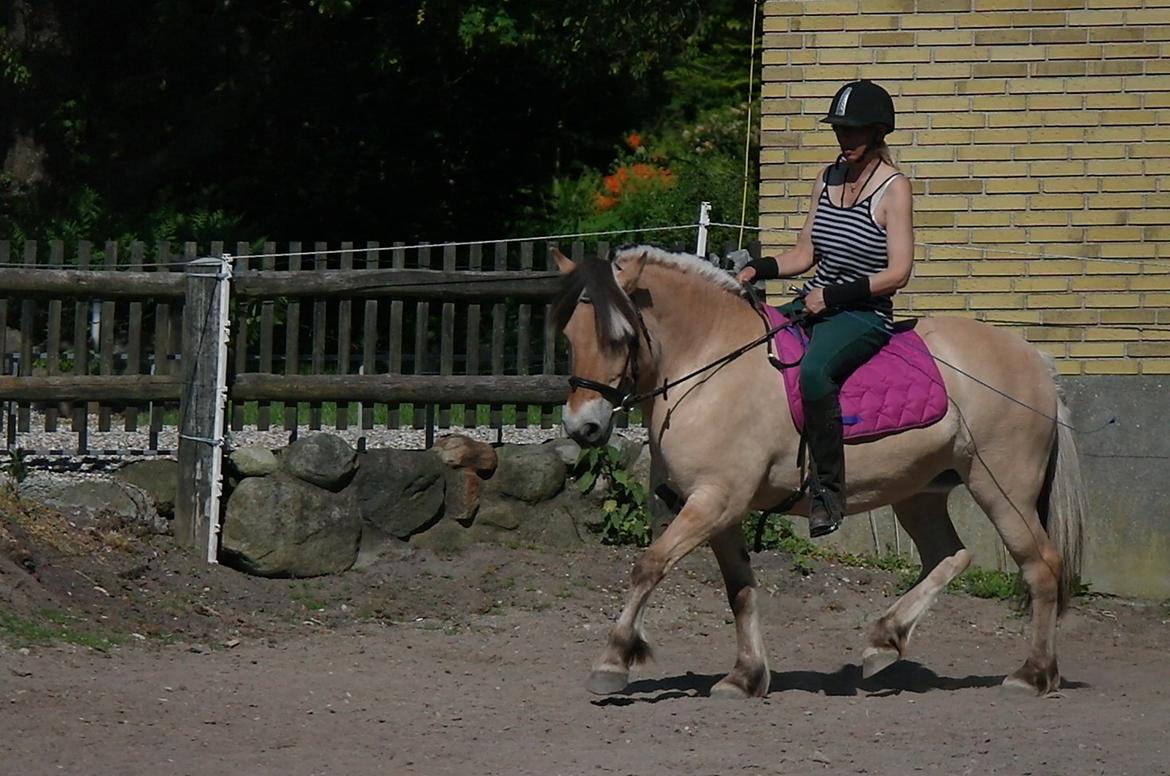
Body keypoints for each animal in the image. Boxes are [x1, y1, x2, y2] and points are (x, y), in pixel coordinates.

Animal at [552, 245, 1081, 702]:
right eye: (569, 337)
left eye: (618, 337)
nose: (583, 427)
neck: (708, 366)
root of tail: (1036, 360)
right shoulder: (718, 509)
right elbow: (740, 590)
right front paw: (745, 677)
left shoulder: (714, 500)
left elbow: (649, 565)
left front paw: (614, 660)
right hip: (919, 493)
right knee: (950, 556)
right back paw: (884, 641)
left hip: (1002, 487)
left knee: (1041, 567)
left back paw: (1033, 674)